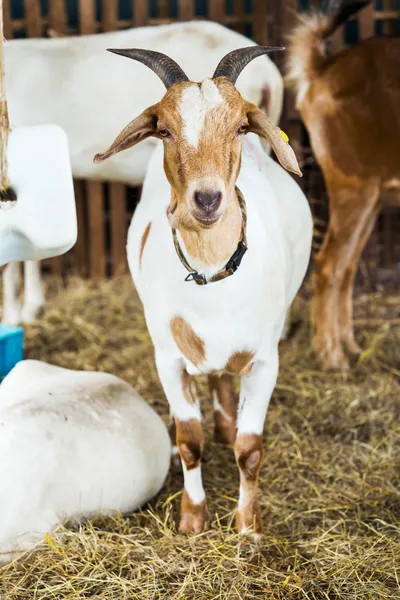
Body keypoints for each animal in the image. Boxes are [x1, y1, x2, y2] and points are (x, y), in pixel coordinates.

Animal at [95, 44, 314, 536]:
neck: (215, 277)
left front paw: (248, 527)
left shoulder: (266, 360)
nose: (208, 199)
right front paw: (192, 518)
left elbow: (250, 450)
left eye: (239, 126)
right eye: (164, 130)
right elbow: (189, 440)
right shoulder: (168, 359)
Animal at [286, 1, 398, 370]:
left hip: (373, 196)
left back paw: (348, 346)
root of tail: (322, 68)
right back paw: (331, 356)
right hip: (353, 186)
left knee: (347, 268)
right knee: (328, 265)